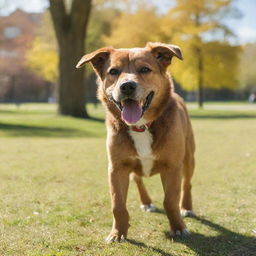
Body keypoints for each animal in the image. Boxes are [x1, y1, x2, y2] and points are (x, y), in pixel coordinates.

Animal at [77, 41, 195, 242]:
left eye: (145, 69)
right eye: (113, 71)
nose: (127, 86)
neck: (141, 126)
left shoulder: (172, 166)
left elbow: (170, 201)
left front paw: (178, 228)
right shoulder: (117, 168)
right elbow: (117, 205)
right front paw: (118, 233)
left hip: (188, 158)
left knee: (187, 183)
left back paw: (186, 207)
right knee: (138, 179)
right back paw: (146, 202)